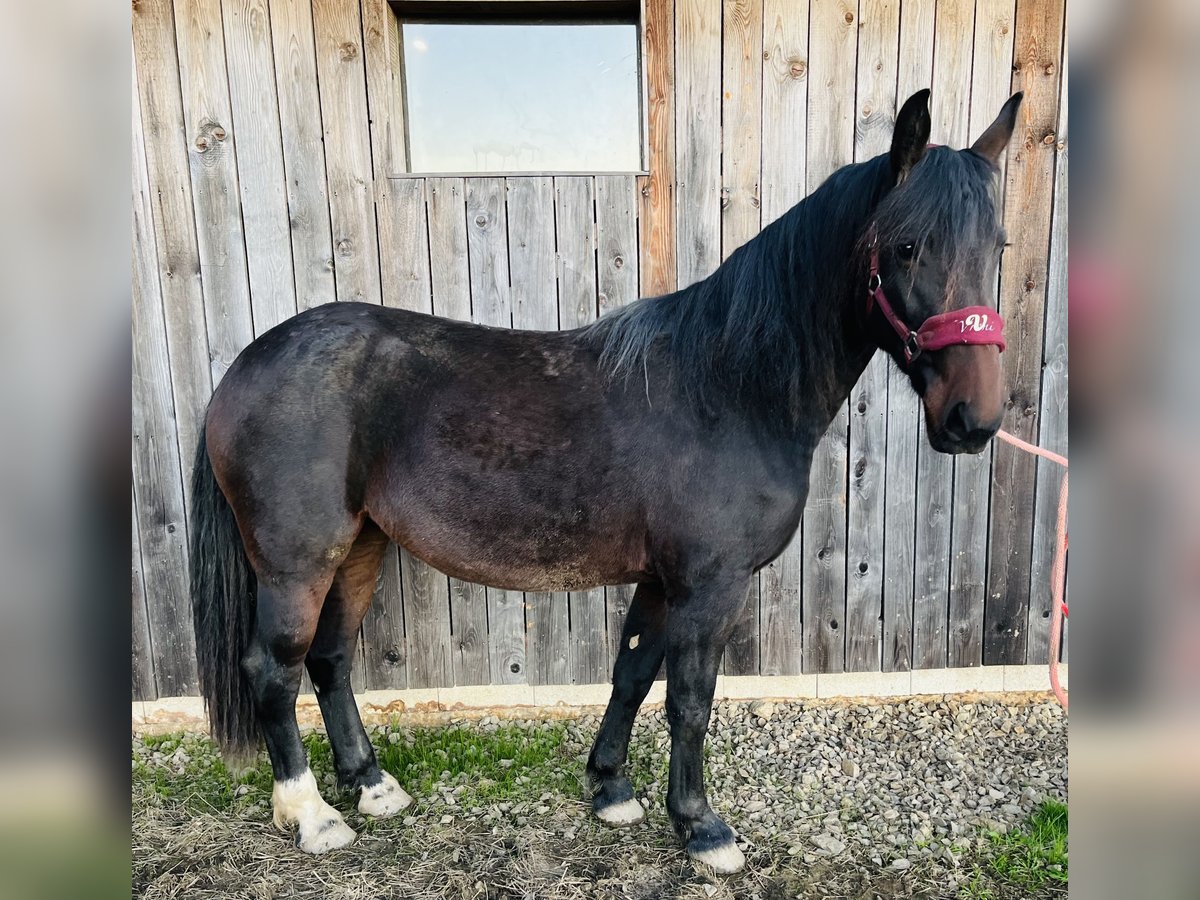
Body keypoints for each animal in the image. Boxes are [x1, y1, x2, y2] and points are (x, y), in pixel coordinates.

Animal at [187, 90, 1022, 873]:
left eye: (998, 246)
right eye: (906, 246)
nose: (972, 419)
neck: (729, 386)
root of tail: (246, 364)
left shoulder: (661, 580)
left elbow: (632, 673)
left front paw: (612, 789)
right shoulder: (711, 584)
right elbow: (690, 700)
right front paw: (701, 827)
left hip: (359, 546)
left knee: (329, 660)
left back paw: (371, 784)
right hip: (297, 562)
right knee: (273, 669)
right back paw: (311, 815)